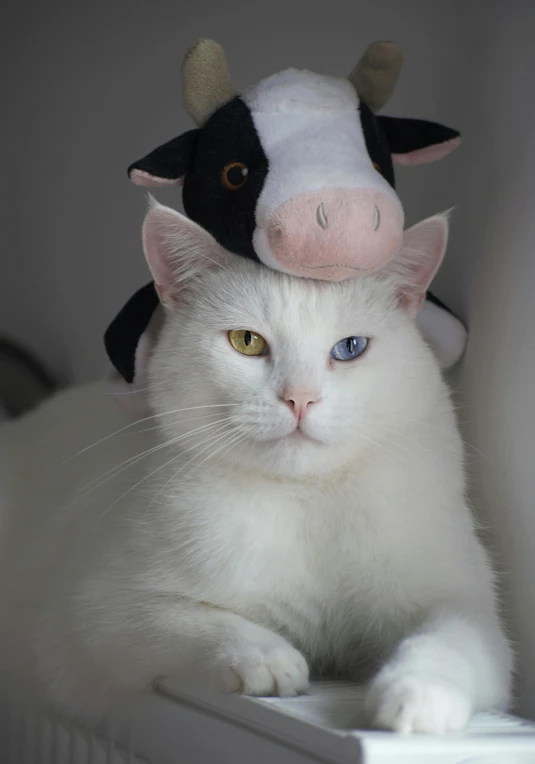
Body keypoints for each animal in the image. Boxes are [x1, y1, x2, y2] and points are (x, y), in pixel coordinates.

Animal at [0, 203, 512, 736]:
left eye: (350, 347)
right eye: (246, 342)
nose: (300, 398)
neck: (305, 501)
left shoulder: (463, 606)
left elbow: (446, 642)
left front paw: (415, 698)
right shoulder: (97, 612)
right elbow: (194, 619)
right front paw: (267, 659)